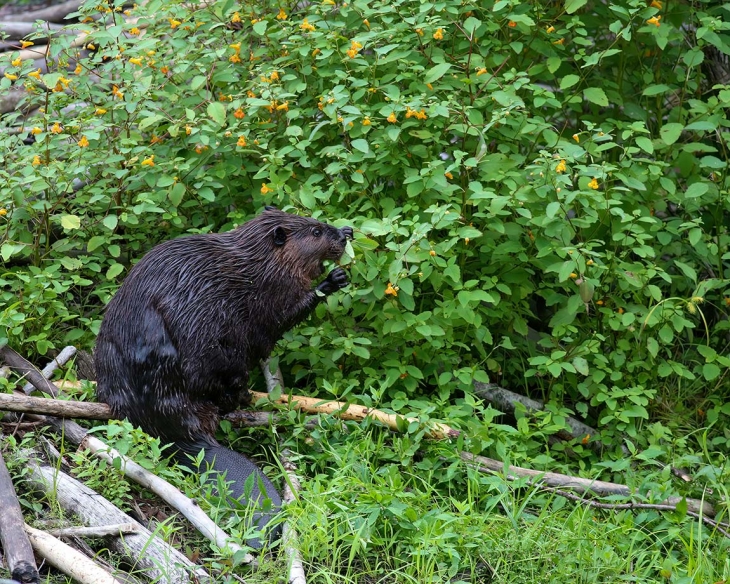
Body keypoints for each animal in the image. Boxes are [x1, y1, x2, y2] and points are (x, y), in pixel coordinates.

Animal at [92, 209, 354, 548]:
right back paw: (242, 397)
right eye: (316, 231)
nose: (344, 234)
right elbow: (281, 316)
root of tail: (189, 440)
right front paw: (333, 279)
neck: (256, 260)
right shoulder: (271, 289)